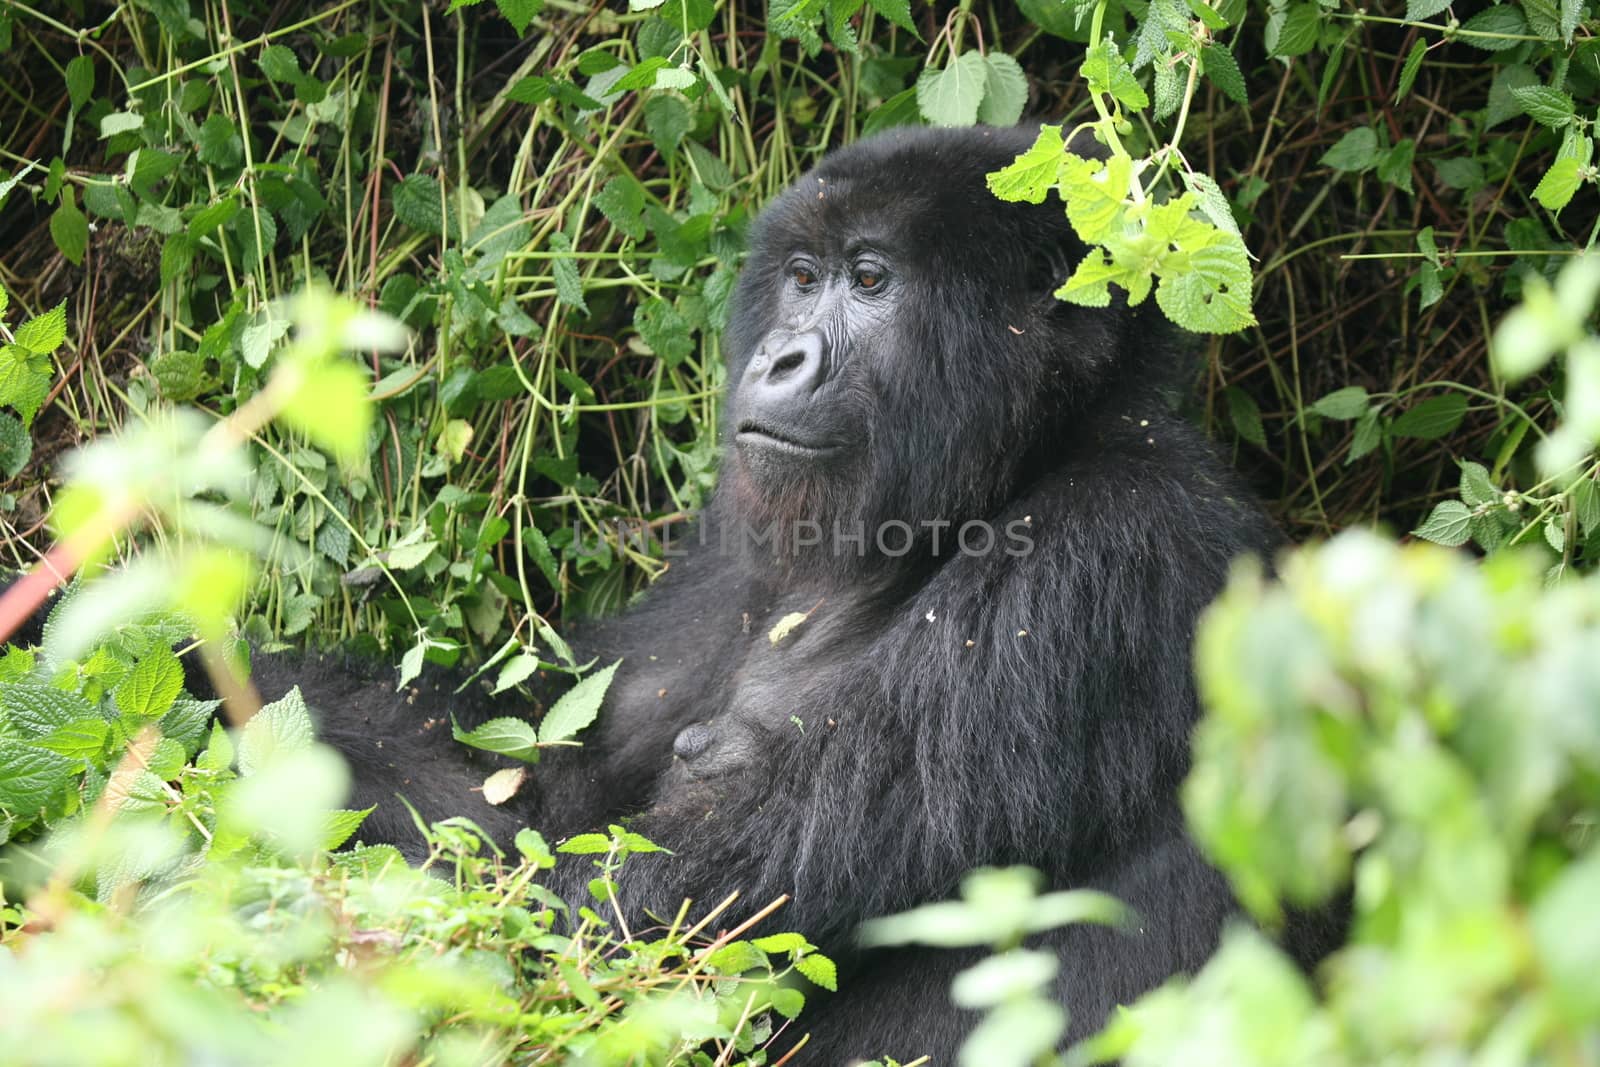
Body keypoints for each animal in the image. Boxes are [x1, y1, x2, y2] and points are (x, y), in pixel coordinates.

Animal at [140, 125, 1324, 1062]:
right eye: (802, 276)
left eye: (872, 280)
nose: (783, 357)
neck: (1010, 470)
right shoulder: (728, 554)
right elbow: (519, 781)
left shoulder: (1101, 553)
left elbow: (611, 926)